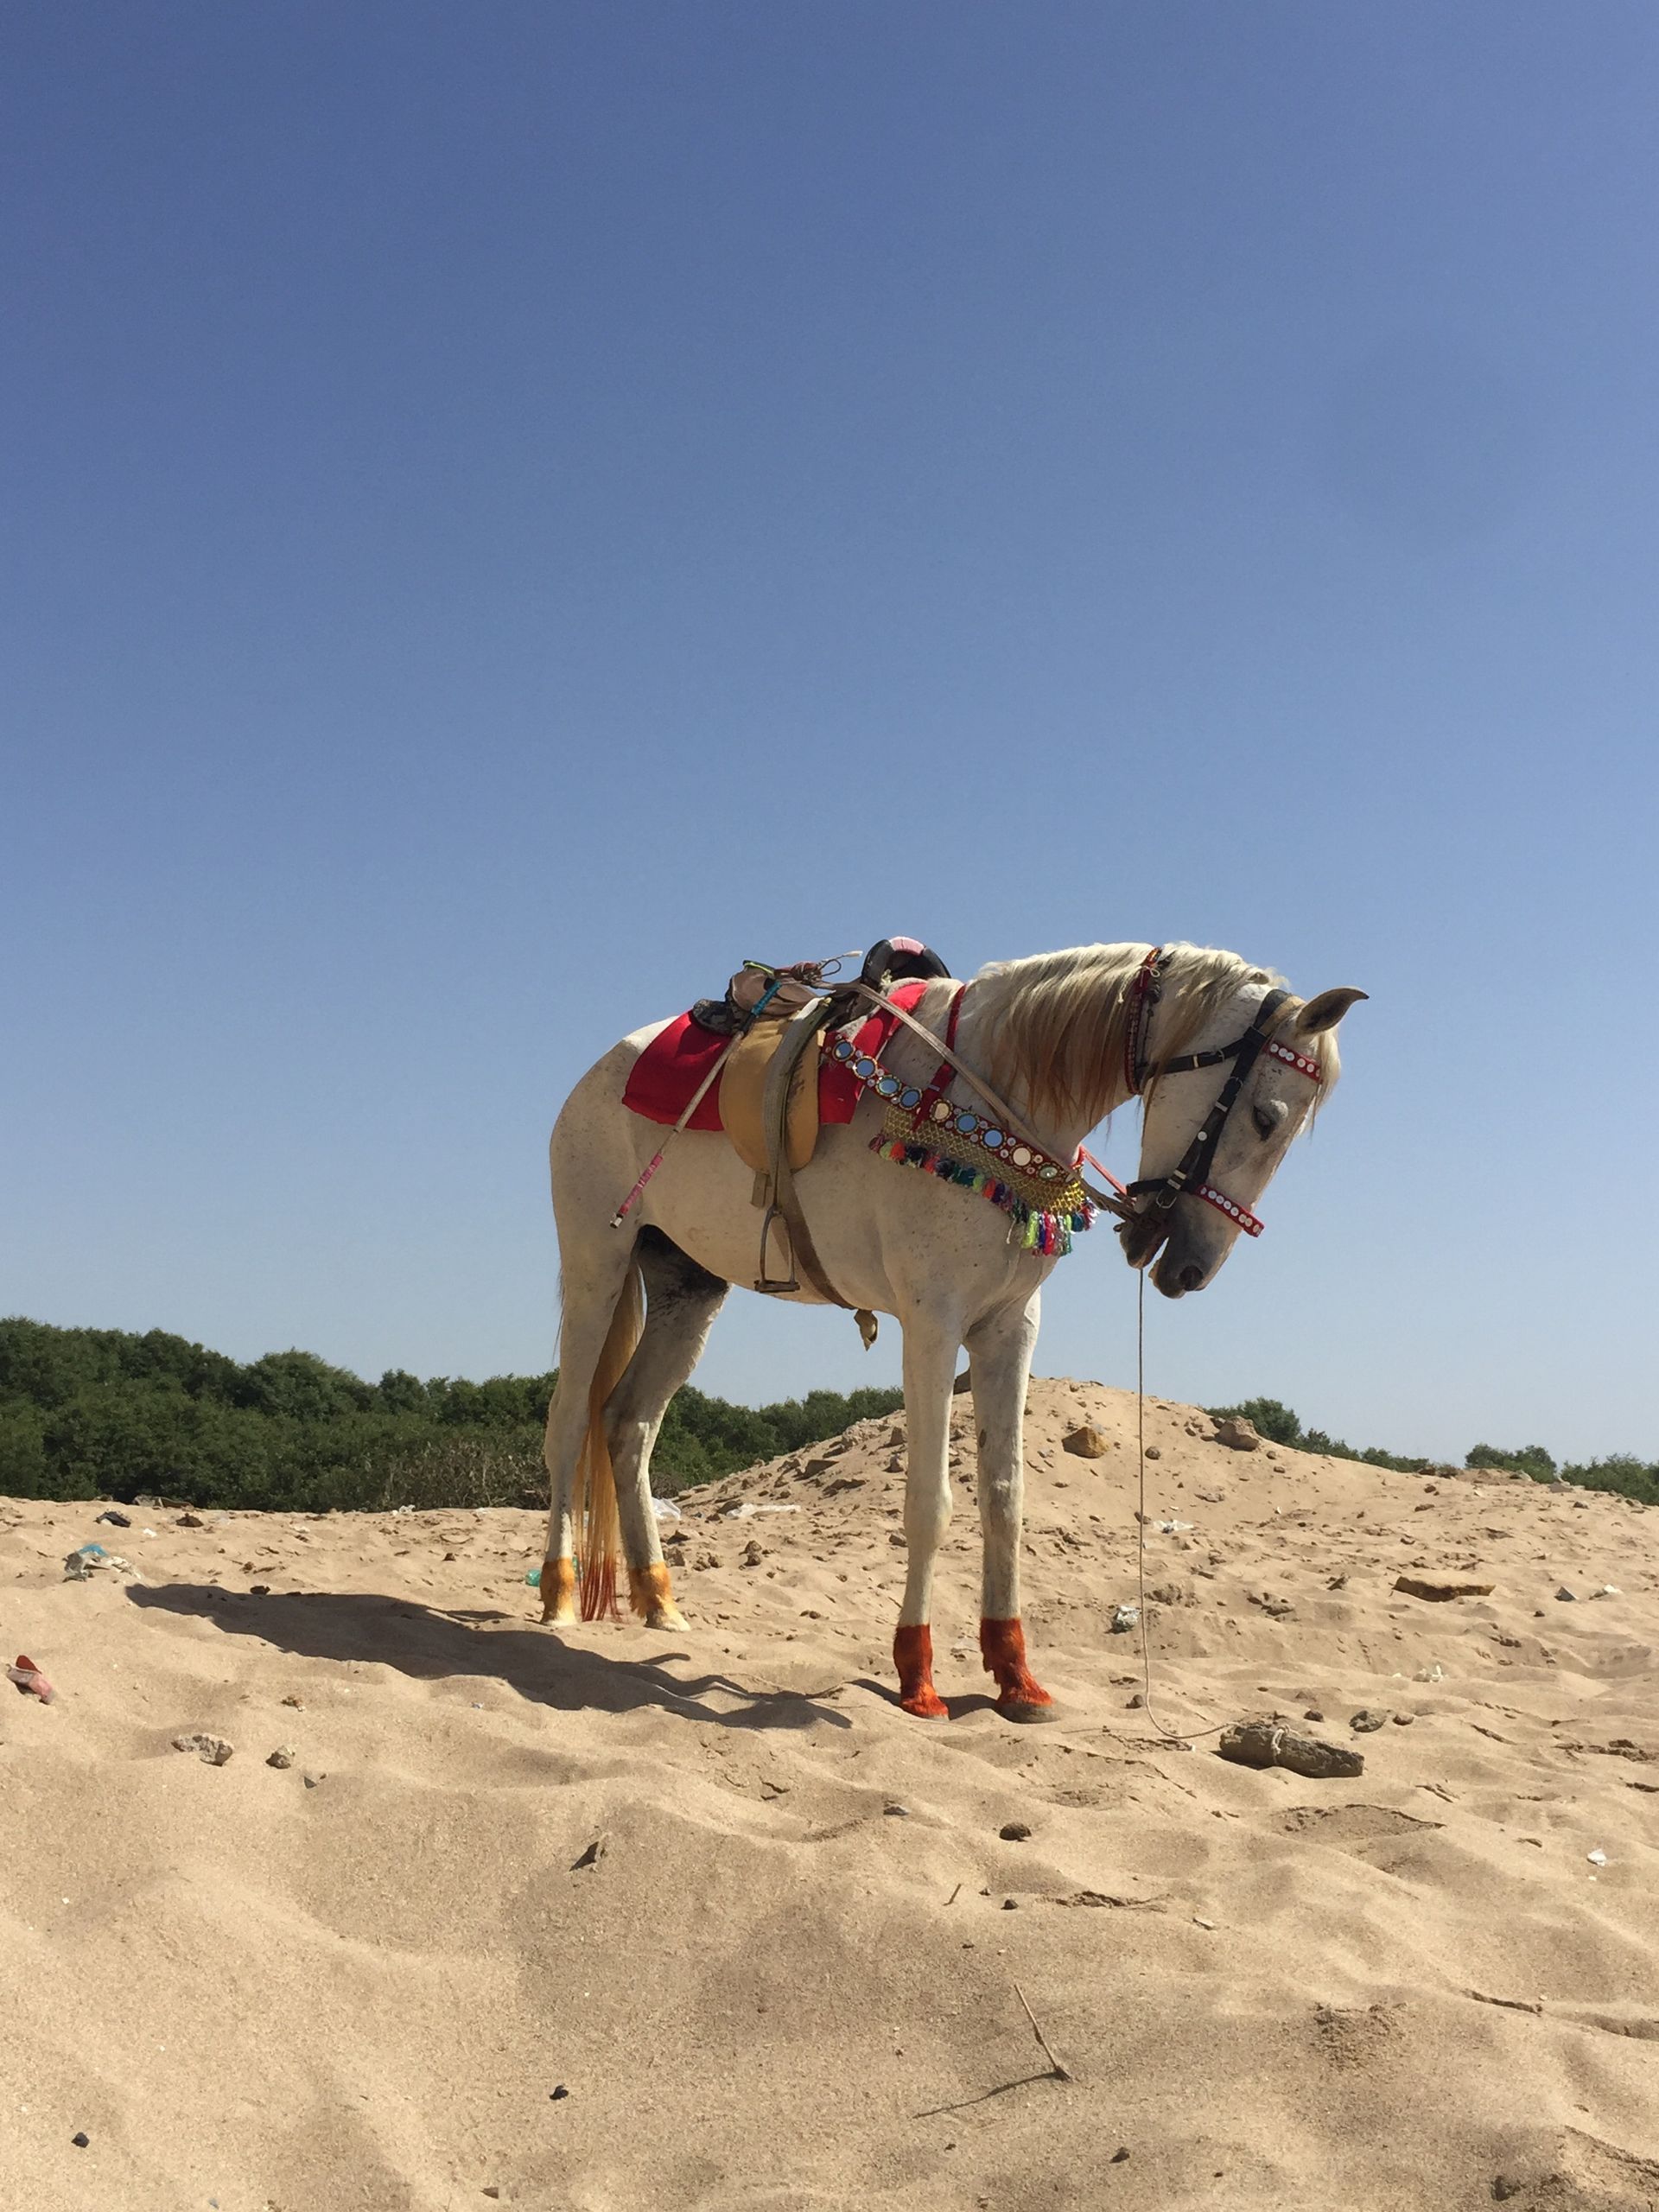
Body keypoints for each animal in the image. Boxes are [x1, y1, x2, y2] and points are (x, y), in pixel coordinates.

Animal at [538, 940, 1364, 1720]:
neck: (990, 1089)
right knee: (571, 1423)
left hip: (690, 1288)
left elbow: (1005, 1501)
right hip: (596, 1265)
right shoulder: (932, 1322)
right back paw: (558, 1594)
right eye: (1265, 1117)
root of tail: (593, 1077)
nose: (1192, 1265)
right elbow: (930, 1507)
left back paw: (659, 1601)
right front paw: (918, 1677)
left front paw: (1016, 1676)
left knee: (629, 1425)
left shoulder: (1008, 1329)